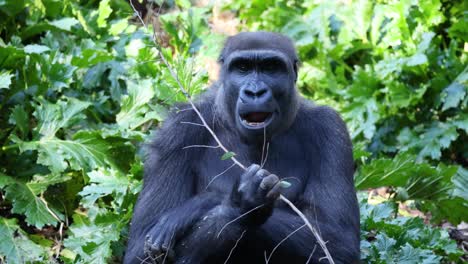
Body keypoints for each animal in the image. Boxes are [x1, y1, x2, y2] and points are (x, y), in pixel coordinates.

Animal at [123, 32, 358, 262]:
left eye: (271, 68)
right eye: (242, 68)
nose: (255, 92)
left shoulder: (330, 128)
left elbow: (338, 240)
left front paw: (201, 206)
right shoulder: (177, 129)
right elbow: (140, 251)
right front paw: (240, 207)